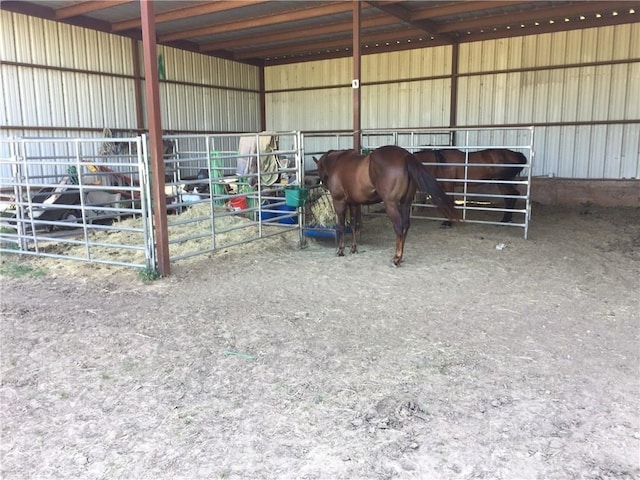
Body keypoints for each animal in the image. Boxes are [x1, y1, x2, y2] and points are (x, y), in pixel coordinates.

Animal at [312, 146, 458, 266]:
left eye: (319, 170)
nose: (323, 186)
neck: (337, 163)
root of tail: (405, 156)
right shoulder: (354, 203)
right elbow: (353, 225)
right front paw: (354, 248)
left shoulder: (339, 201)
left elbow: (341, 226)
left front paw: (341, 250)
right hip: (405, 203)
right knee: (405, 226)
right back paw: (400, 256)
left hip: (391, 204)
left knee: (399, 227)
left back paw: (397, 258)